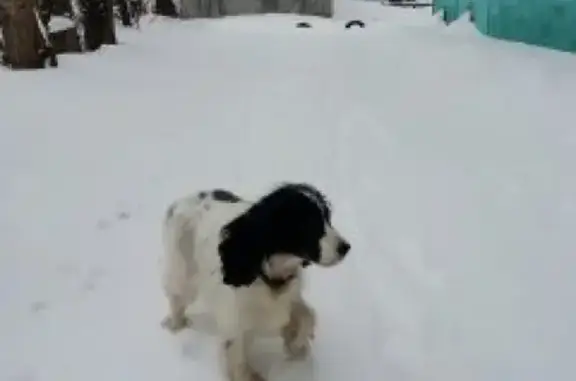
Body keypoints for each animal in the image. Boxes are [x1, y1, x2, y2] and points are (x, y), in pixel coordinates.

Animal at [161, 182, 352, 380]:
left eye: (328, 218)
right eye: (308, 221)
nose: (345, 247)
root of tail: (181, 201)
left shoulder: (289, 297)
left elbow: (308, 316)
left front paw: (295, 344)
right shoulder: (234, 322)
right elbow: (238, 360)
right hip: (182, 272)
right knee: (177, 300)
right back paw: (177, 327)